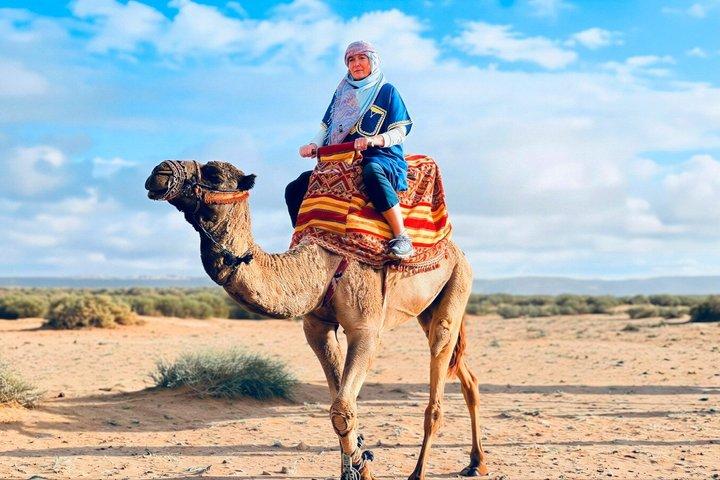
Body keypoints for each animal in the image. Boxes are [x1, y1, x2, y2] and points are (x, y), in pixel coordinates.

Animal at [144, 159, 489, 480]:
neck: (322, 264)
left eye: (214, 174)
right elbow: (340, 403)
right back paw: (476, 463)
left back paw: (420, 471)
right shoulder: (317, 328)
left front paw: (361, 466)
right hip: (427, 309)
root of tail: (457, 250)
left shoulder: (365, 329)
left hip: (457, 285)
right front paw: (359, 465)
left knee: (439, 368)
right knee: (466, 374)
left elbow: (342, 410)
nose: (159, 171)